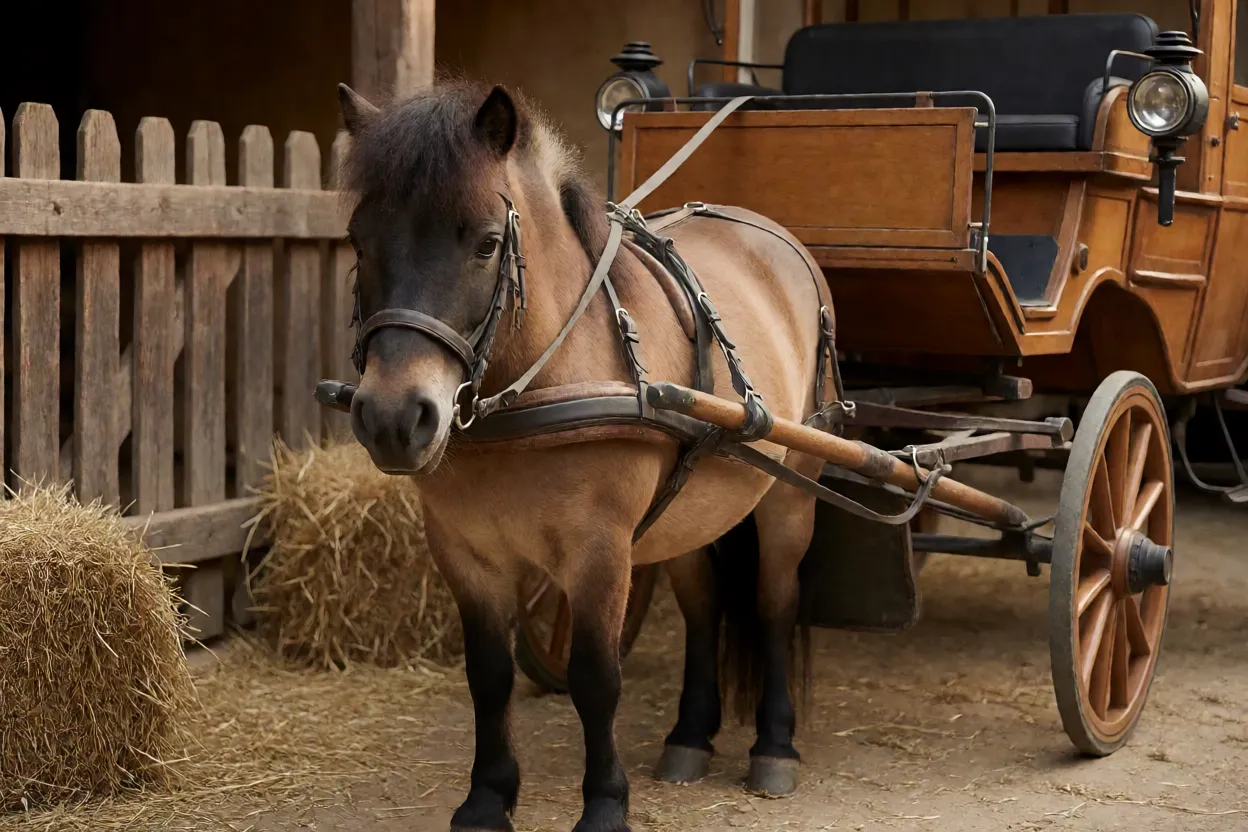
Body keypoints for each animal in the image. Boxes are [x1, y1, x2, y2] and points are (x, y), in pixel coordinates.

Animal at [336, 79, 831, 832]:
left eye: (487, 244)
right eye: (358, 240)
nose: (395, 416)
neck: (538, 383)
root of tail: (769, 233)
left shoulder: (599, 551)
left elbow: (596, 678)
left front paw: (603, 804)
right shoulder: (464, 551)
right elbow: (489, 675)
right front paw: (488, 797)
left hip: (790, 494)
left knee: (775, 602)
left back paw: (775, 745)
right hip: (686, 515)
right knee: (703, 607)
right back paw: (690, 736)